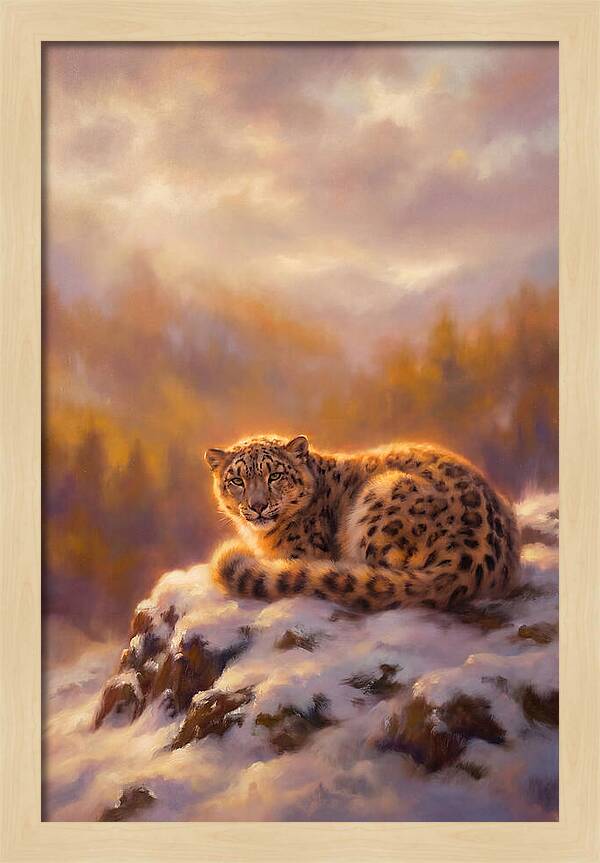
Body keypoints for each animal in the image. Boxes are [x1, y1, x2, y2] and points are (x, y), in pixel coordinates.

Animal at [204, 434, 521, 613]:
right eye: (237, 480)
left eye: (275, 475)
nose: (258, 506)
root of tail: (466, 565)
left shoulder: (300, 553)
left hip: (379, 496)